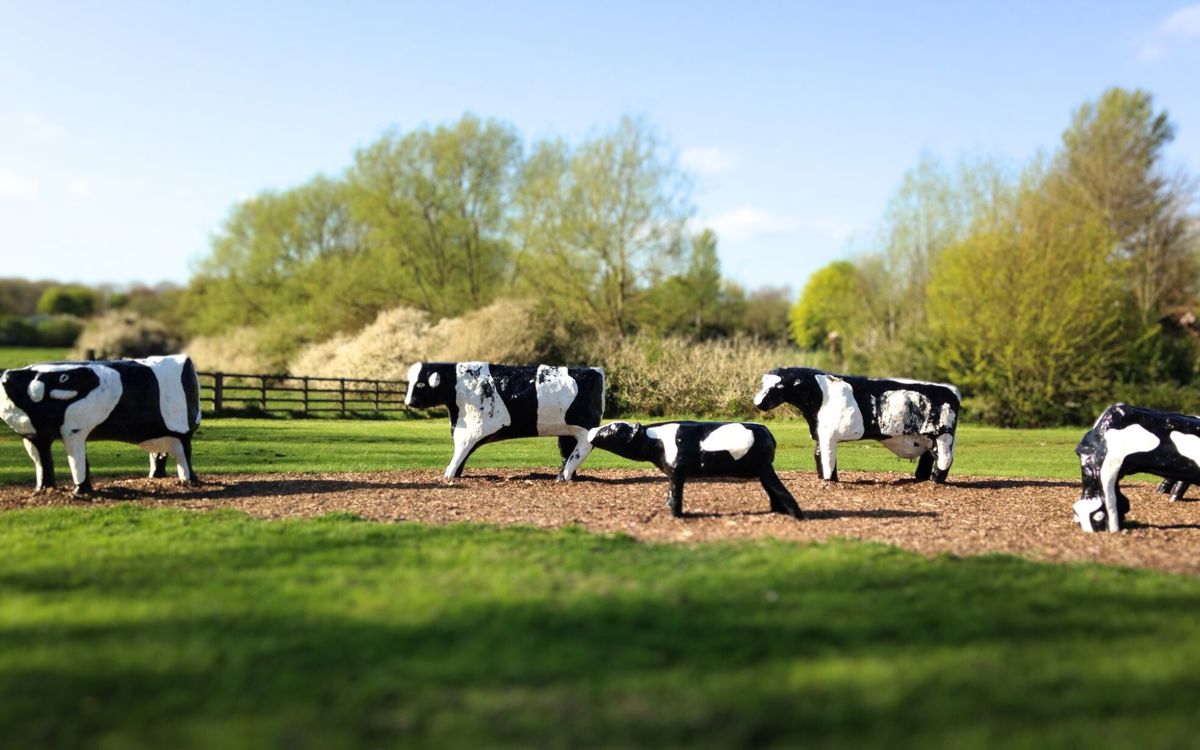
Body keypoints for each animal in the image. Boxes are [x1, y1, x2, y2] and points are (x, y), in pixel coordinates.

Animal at [0, 354, 201, 495]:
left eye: (64, 379)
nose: (7, 376)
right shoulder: (33, 435)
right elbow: (42, 462)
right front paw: (43, 489)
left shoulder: (74, 429)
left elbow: (77, 463)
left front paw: (80, 491)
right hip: (157, 434)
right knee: (160, 453)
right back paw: (156, 477)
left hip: (181, 428)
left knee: (183, 455)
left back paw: (189, 481)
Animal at [404, 361, 605, 481]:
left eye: (420, 384)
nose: (408, 402)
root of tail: (595, 370)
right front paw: (455, 474)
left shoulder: (474, 429)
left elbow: (461, 449)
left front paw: (449, 474)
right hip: (566, 429)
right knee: (567, 449)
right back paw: (565, 475)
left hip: (584, 426)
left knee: (584, 446)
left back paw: (564, 475)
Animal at [586, 420, 803, 519]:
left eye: (613, 428)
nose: (592, 431)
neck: (655, 440)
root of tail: (769, 433)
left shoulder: (677, 470)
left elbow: (676, 494)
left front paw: (675, 515)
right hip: (762, 470)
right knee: (772, 490)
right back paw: (777, 511)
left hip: (763, 466)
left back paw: (797, 515)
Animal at [753, 367, 960, 483]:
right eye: (762, 384)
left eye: (779, 387)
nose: (758, 403)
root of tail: (952, 390)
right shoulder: (820, 432)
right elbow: (818, 455)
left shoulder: (828, 434)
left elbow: (827, 458)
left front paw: (828, 480)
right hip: (927, 437)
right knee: (929, 457)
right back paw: (920, 478)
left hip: (943, 435)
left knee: (945, 459)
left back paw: (935, 480)